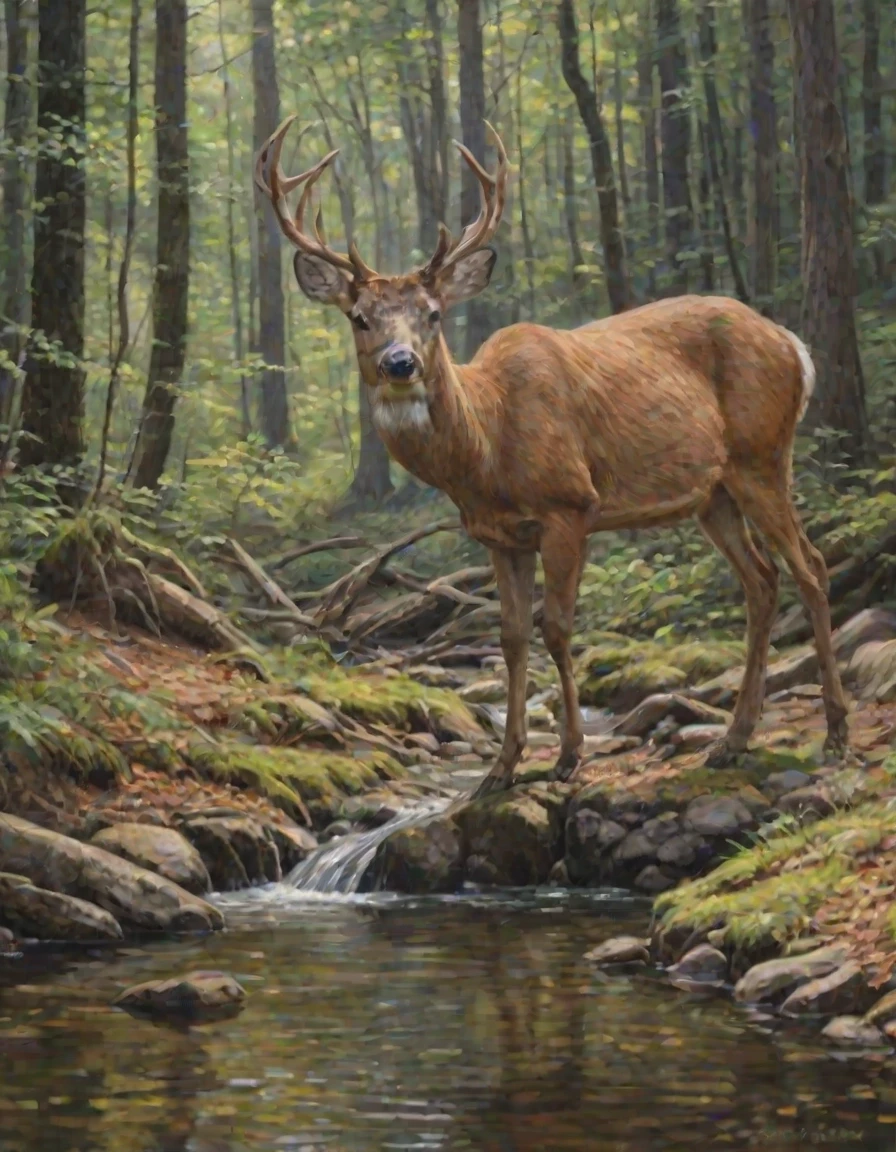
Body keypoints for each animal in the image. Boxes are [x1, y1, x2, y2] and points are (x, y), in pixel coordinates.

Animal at [254, 114, 852, 801]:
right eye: (359, 317)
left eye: (432, 314)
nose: (399, 364)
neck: (488, 449)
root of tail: (792, 344)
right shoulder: (498, 536)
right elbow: (512, 638)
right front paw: (502, 767)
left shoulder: (570, 505)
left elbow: (558, 628)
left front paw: (568, 756)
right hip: (714, 493)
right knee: (762, 580)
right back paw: (733, 739)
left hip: (763, 455)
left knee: (811, 567)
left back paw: (835, 732)